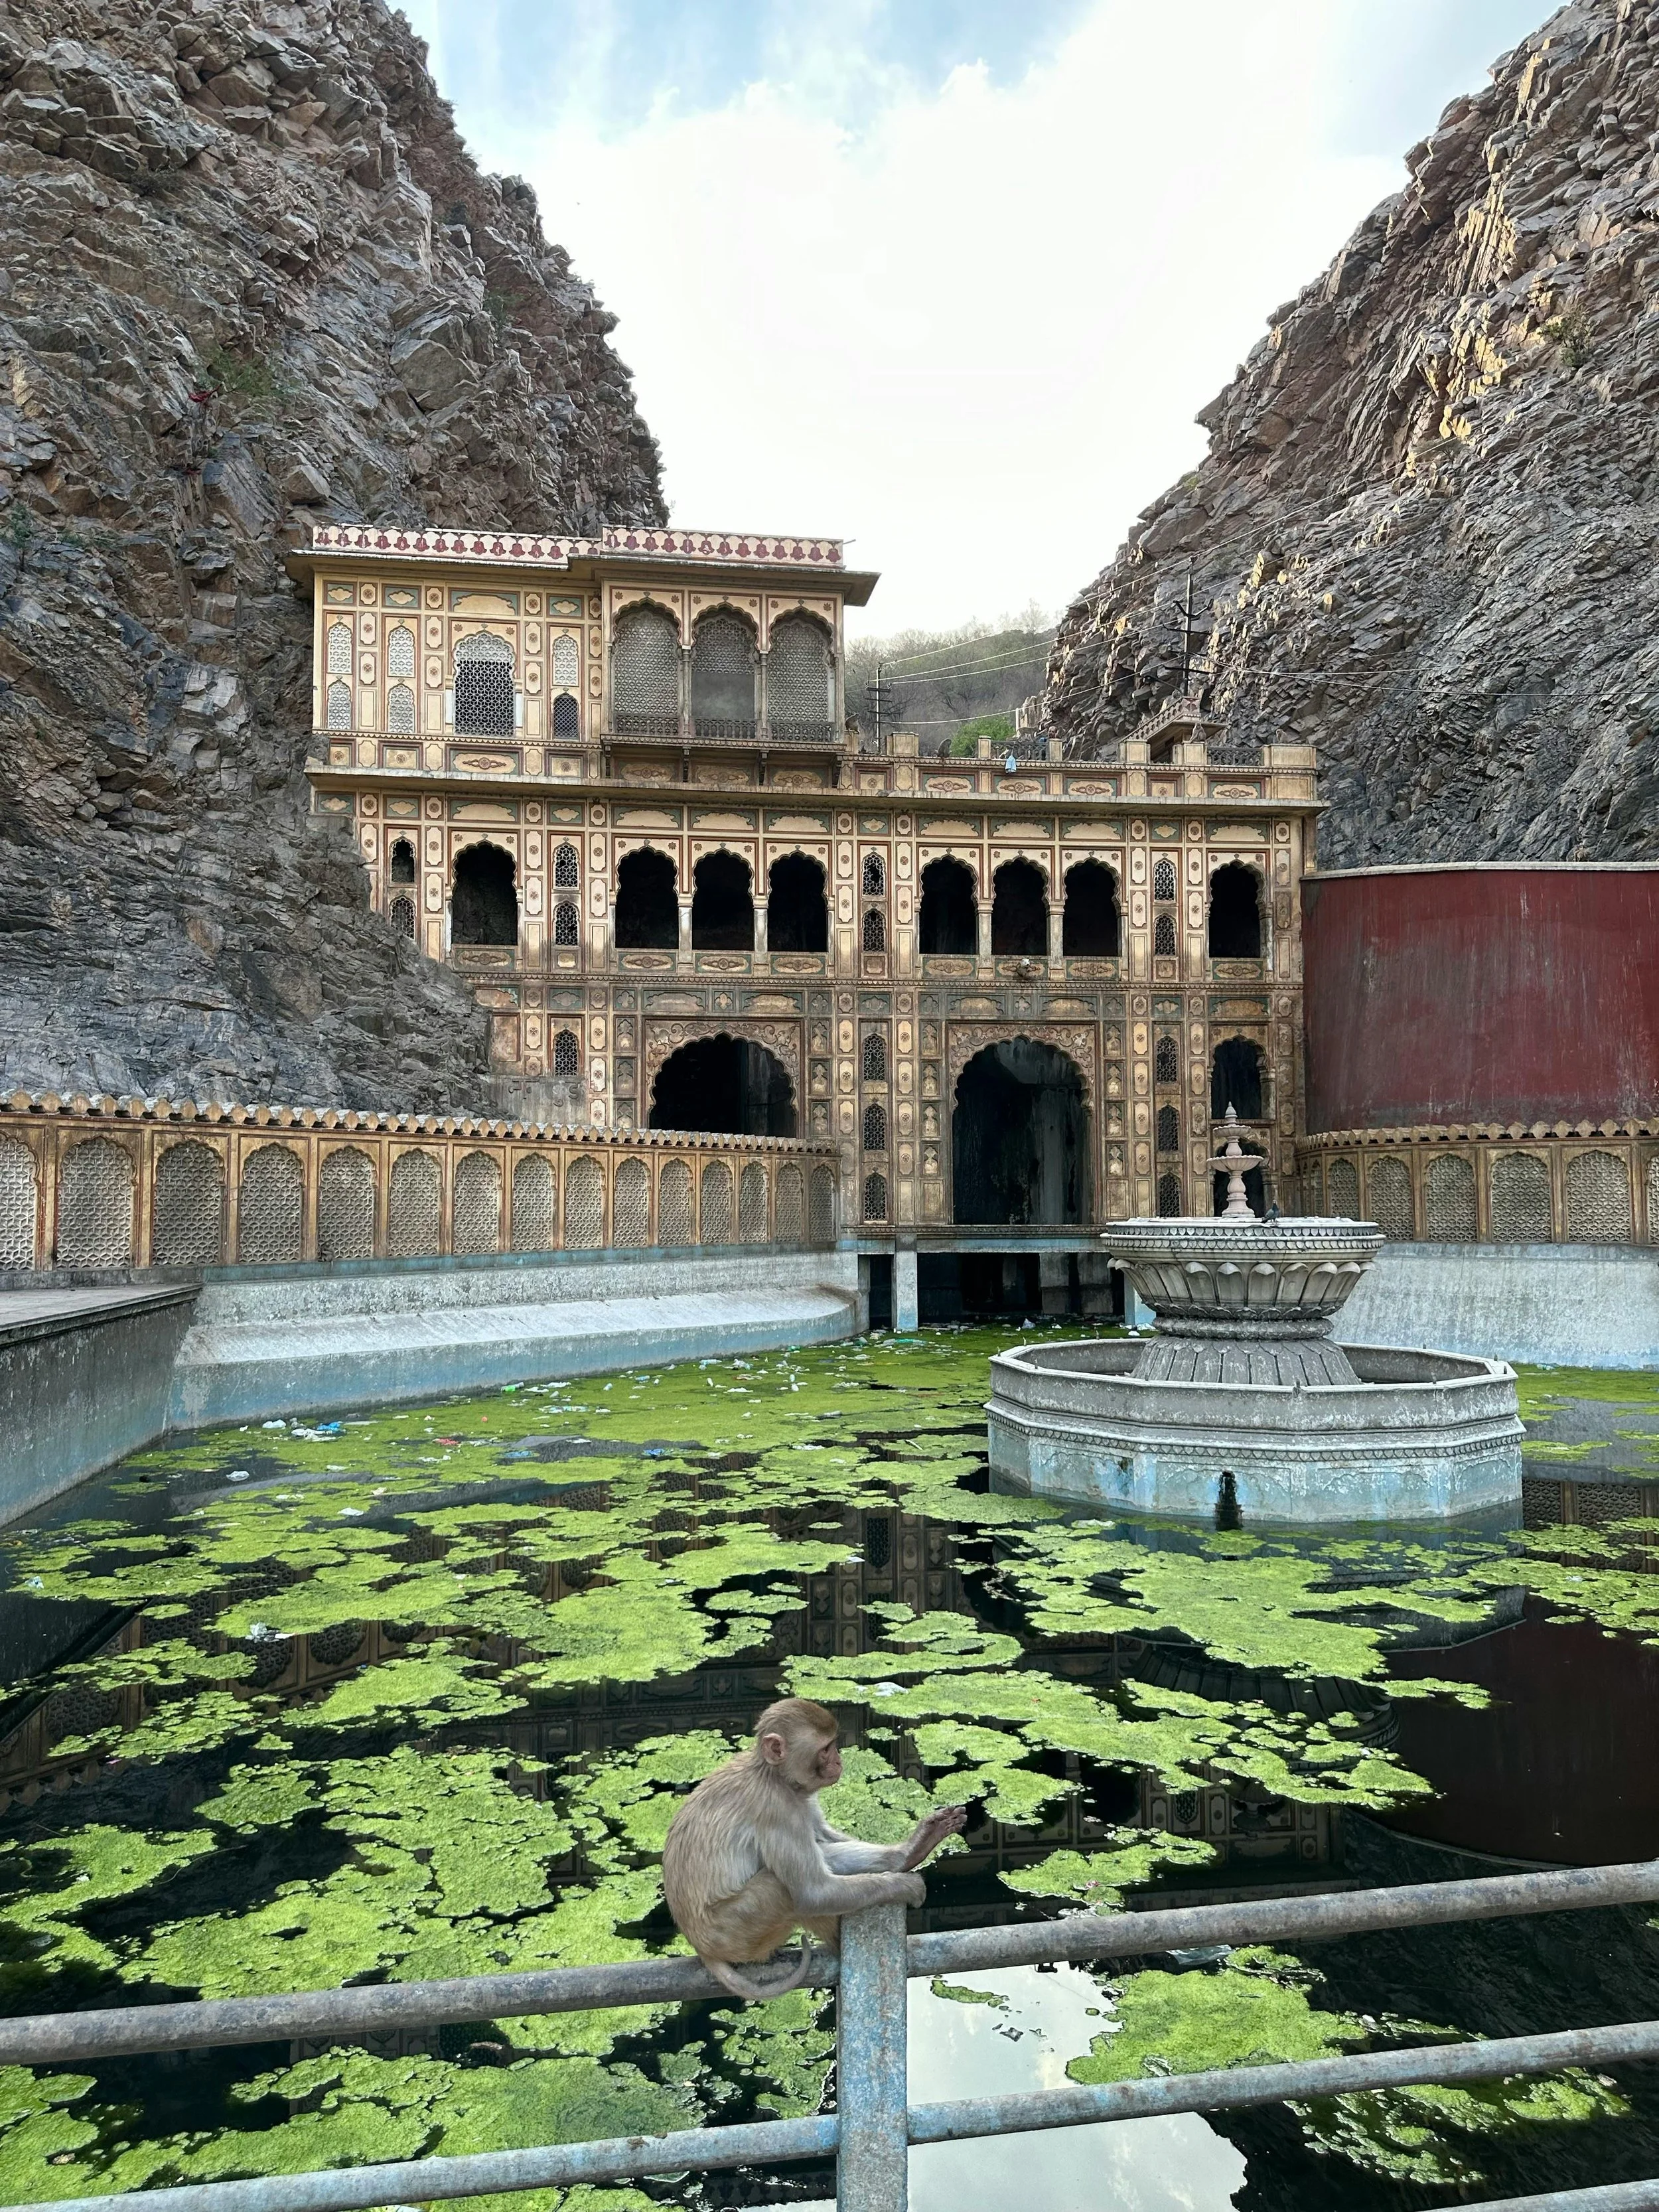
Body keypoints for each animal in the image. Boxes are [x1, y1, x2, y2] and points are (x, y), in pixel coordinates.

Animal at [662, 1695, 966, 2002]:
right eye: (826, 1749)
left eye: (833, 1745)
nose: (838, 1760)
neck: (774, 1775)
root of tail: (701, 1947)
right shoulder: (779, 1808)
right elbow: (813, 1892)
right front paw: (904, 1885)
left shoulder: (799, 1800)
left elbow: (822, 1846)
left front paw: (910, 1851)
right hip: (733, 1932)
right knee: (781, 1888)